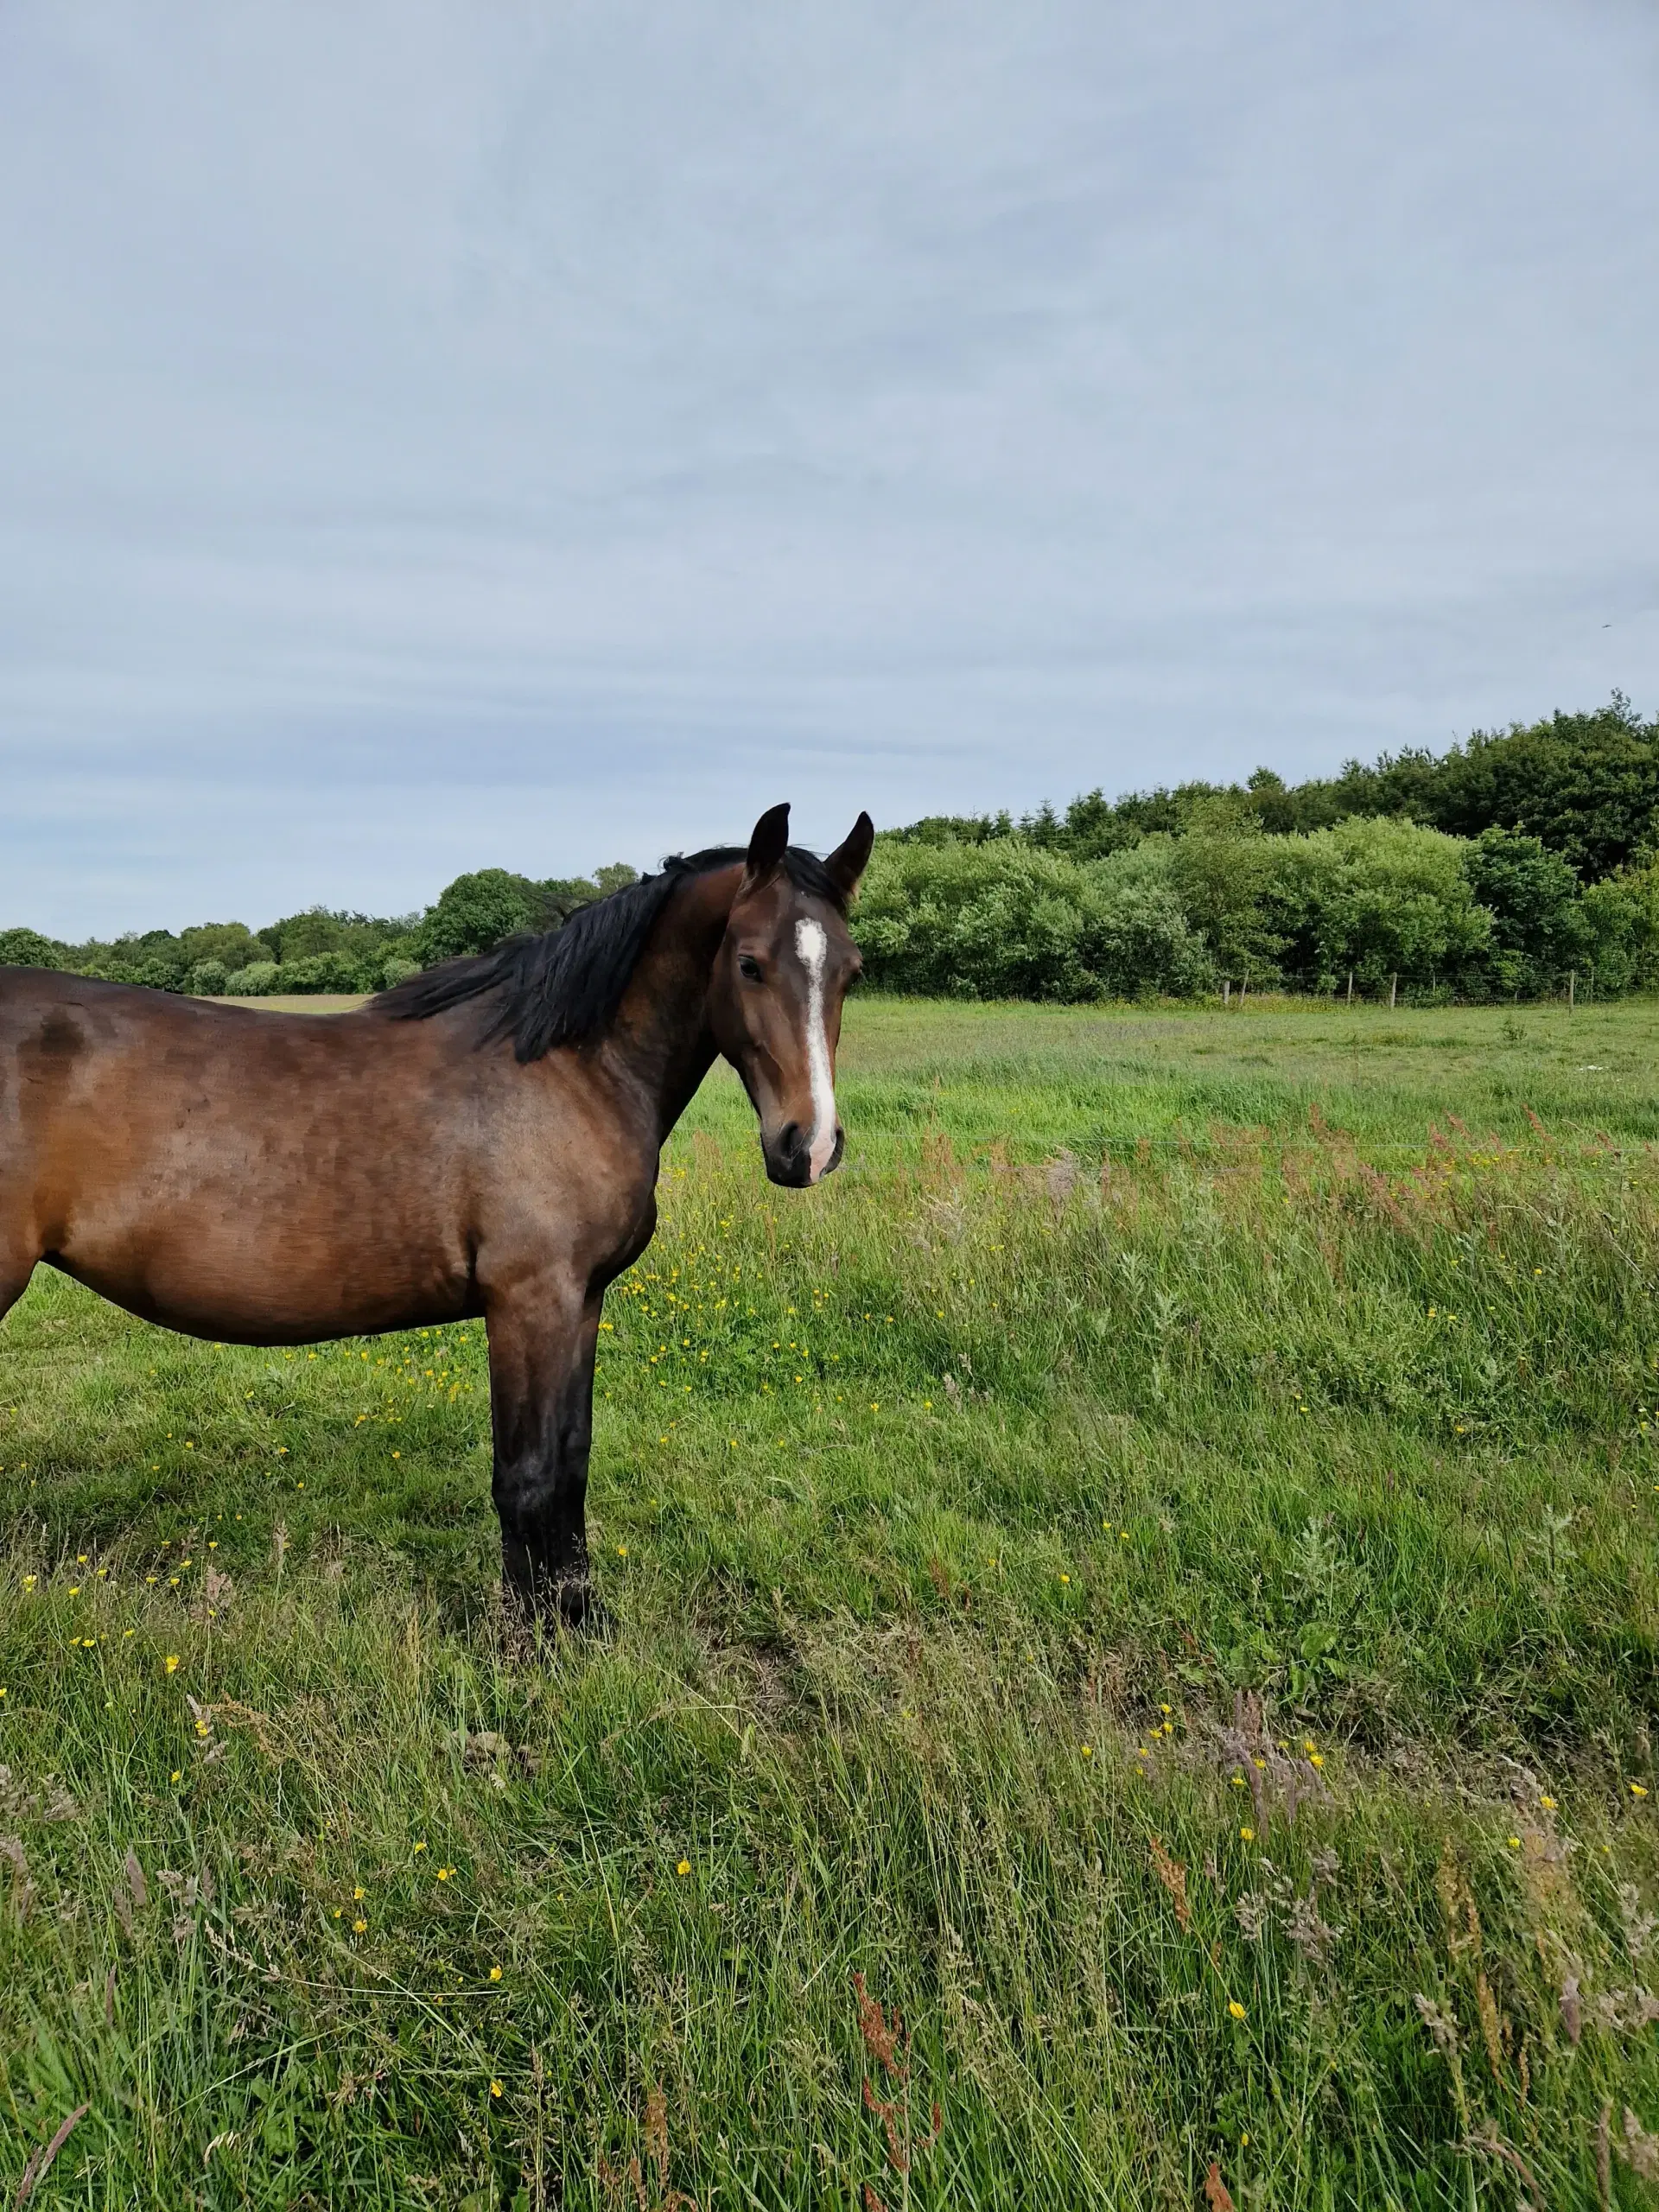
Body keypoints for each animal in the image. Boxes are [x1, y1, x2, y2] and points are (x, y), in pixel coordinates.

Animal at [0, 804, 875, 1618]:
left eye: (852, 971)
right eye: (749, 963)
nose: (808, 1145)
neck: (570, 1069)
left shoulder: (582, 1299)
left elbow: (572, 1463)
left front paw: (581, 1619)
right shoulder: (528, 1301)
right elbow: (529, 1478)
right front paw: (535, 1641)